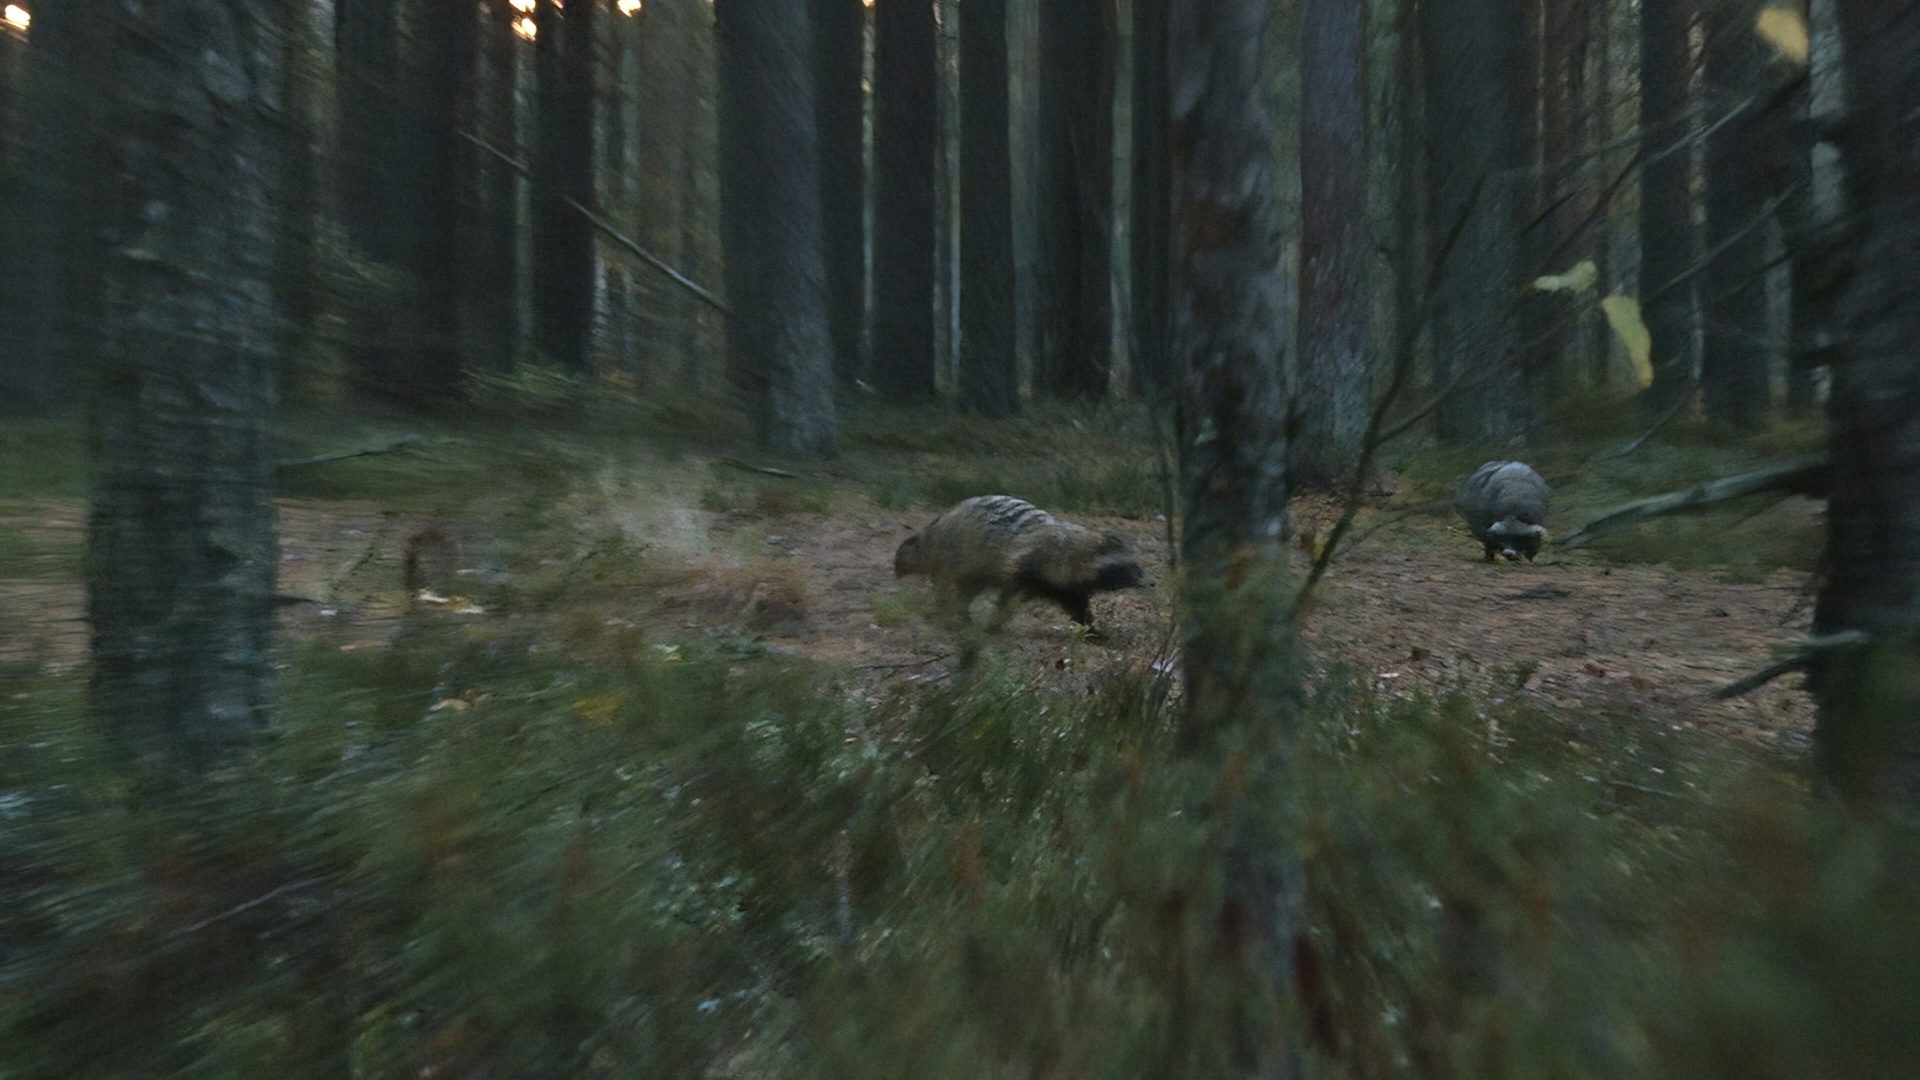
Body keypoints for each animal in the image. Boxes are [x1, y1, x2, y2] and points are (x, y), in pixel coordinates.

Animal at [894, 495, 1144, 630]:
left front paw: (1091, 628)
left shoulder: (1064, 584)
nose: (1148, 582)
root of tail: (937, 526)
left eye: (1136, 566)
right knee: (950, 586)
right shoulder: (1024, 566)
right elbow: (1009, 599)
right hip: (959, 552)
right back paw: (949, 613)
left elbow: (1076, 604)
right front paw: (995, 623)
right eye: (1128, 568)